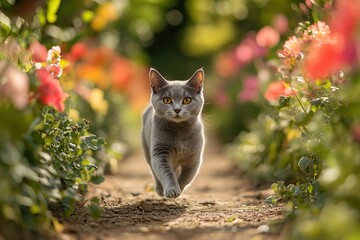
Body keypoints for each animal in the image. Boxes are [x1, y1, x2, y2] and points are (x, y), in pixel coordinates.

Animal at [143, 68, 207, 199]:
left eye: (187, 100)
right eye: (167, 100)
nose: (177, 109)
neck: (179, 133)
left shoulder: (194, 157)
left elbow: (186, 177)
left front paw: (179, 188)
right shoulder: (160, 153)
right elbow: (166, 173)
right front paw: (172, 190)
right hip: (147, 148)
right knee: (154, 170)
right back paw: (159, 189)